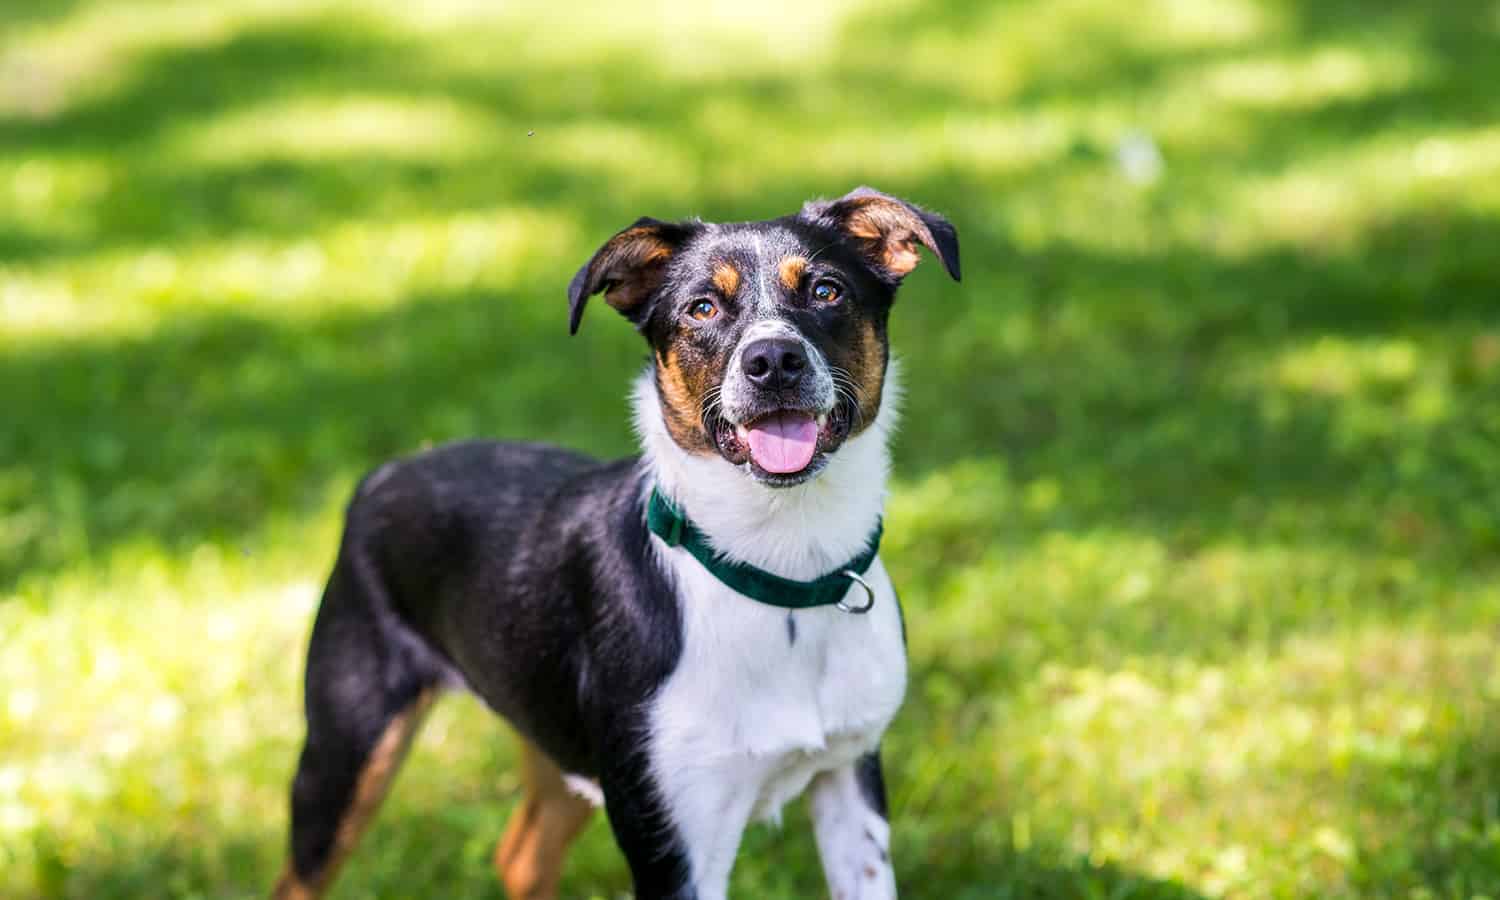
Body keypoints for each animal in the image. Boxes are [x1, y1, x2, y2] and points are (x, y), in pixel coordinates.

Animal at [273, 186, 960, 894]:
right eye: (702, 308)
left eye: (827, 291)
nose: (773, 362)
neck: (782, 573)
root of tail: (383, 473)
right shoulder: (673, 842)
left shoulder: (852, 779)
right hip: (346, 749)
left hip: (553, 733)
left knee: (520, 855)